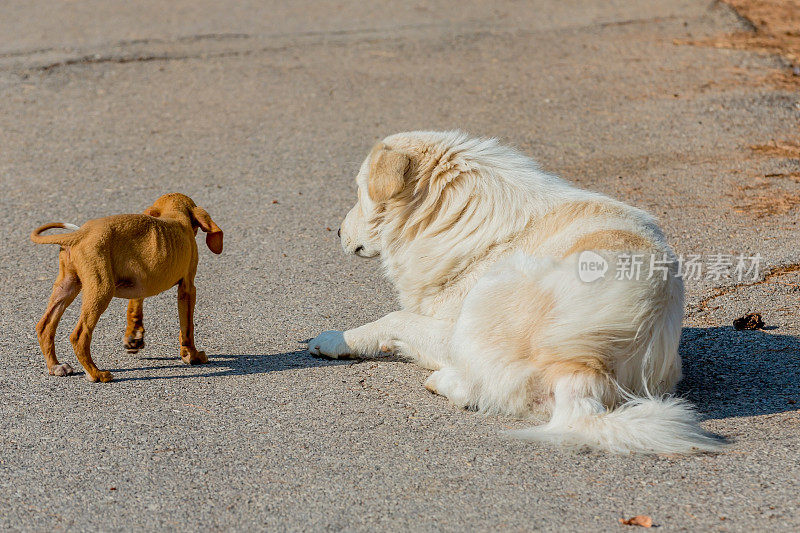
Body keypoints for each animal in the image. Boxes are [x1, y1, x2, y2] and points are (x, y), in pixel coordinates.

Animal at [31, 193, 222, 380]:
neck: (174, 213)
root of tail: (80, 234)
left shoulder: (140, 282)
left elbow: (134, 307)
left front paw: (134, 336)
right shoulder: (188, 288)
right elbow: (187, 328)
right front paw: (192, 355)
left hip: (67, 286)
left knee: (45, 326)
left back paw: (55, 366)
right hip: (101, 290)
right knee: (79, 335)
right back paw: (96, 373)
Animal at [310, 130, 720, 454]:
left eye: (359, 192)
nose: (336, 231)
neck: (452, 213)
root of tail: (586, 366)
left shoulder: (445, 324)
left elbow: (393, 319)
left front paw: (335, 339)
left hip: (485, 303)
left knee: (473, 384)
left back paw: (442, 380)